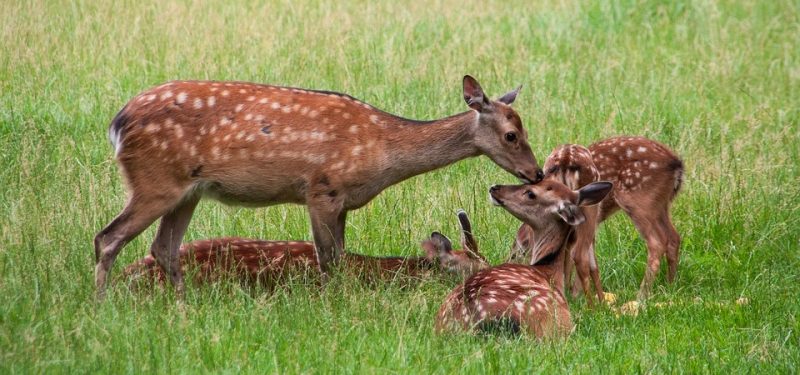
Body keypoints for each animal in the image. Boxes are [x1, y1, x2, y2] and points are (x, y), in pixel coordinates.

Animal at [95, 76, 544, 300]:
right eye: (511, 135)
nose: (537, 173)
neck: (383, 151)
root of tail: (117, 123)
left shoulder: (343, 202)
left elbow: (340, 257)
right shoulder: (322, 189)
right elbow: (328, 260)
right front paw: (334, 306)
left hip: (187, 191)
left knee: (163, 248)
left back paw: (184, 306)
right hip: (154, 180)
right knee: (108, 237)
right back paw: (102, 306)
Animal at [512, 138, 680, 302]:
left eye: (521, 250)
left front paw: (574, 294)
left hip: (635, 201)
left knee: (655, 243)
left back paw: (637, 298)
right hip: (660, 205)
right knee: (673, 238)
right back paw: (669, 287)